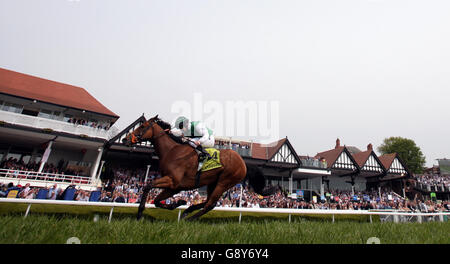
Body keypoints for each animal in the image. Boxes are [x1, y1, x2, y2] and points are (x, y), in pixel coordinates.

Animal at [121, 115, 266, 221]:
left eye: (143, 126)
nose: (124, 140)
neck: (171, 151)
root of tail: (244, 163)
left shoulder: (172, 181)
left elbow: (148, 186)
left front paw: (140, 214)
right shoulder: (175, 187)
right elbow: (156, 201)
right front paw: (178, 202)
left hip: (224, 182)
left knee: (210, 204)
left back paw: (189, 219)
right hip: (213, 183)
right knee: (208, 202)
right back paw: (187, 210)